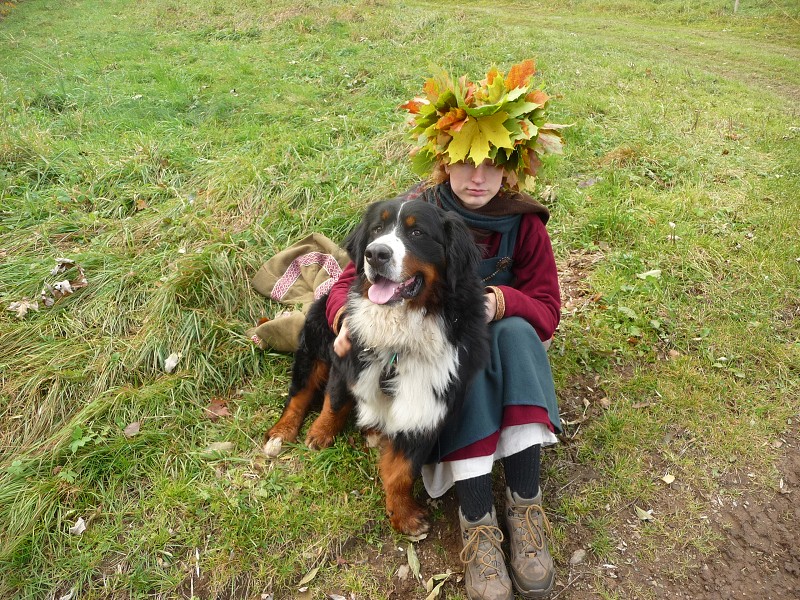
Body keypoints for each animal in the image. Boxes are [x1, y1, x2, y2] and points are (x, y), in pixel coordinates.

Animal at [264, 197, 488, 536]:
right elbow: (334, 401)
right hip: (316, 334)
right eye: (376, 229)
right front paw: (320, 433)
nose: (376, 254)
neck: (400, 327)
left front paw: (404, 514)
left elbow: (403, 469)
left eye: (417, 232)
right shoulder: (348, 355)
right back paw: (281, 432)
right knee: (300, 393)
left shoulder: (430, 396)